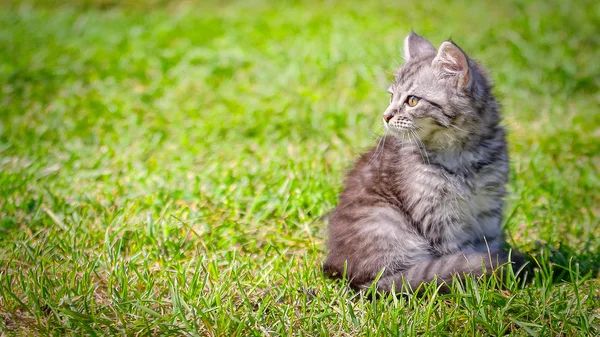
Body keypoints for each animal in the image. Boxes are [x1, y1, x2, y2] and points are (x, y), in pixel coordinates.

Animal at [324, 32, 520, 292]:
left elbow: (488, 245)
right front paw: (477, 283)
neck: (463, 157)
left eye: (413, 101)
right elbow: (461, 256)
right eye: (391, 96)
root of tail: (341, 272)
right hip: (386, 223)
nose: (386, 116)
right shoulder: (439, 216)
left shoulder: (488, 209)